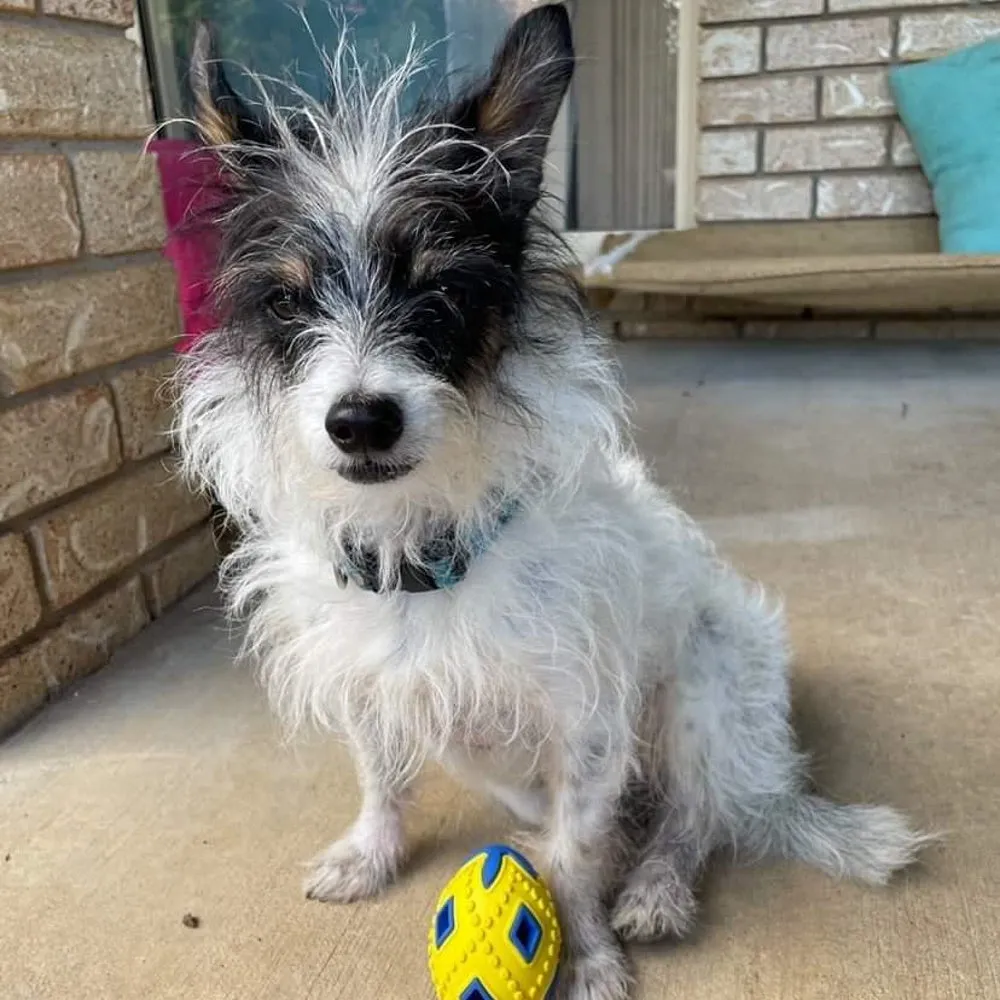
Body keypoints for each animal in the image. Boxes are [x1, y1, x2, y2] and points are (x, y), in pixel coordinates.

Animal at [178, 3, 928, 996]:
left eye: (442, 292)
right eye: (287, 303)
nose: (360, 421)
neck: (423, 552)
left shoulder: (589, 719)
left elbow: (575, 852)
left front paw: (590, 951)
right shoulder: (375, 687)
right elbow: (383, 779)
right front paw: (371, 853)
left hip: (704, 694)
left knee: (696, 818)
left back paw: (656, 887)